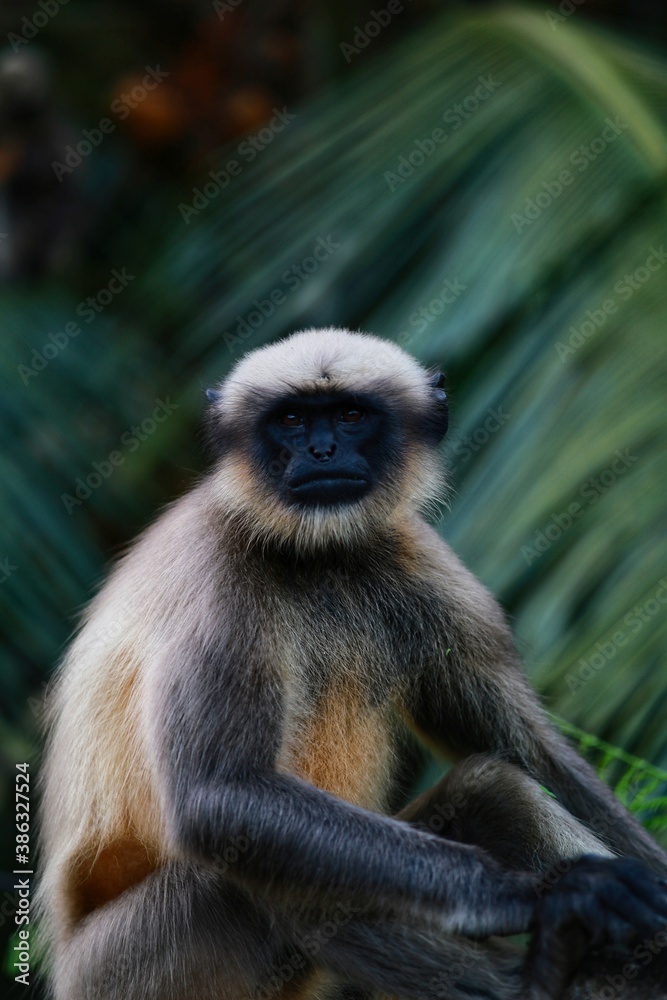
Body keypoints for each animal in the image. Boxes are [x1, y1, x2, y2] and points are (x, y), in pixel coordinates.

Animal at [38, 327, 667, 1000]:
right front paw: (540, 893)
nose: (321, 450)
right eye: (290, 420)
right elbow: (217, 799)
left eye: (350, 415)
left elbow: (520, 746)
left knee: (492, 788)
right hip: (128, 966)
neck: (319, 554)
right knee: (252, 877)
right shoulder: (216, 576)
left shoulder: (415, 557)